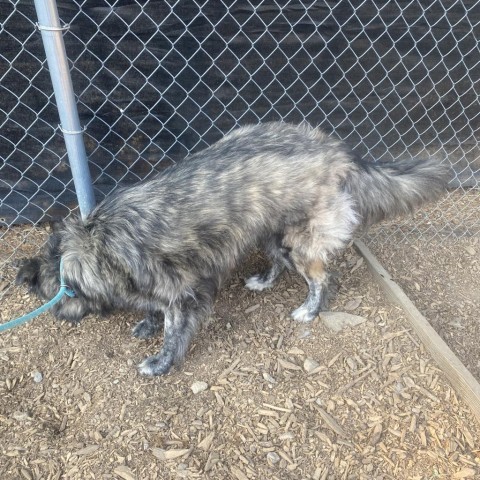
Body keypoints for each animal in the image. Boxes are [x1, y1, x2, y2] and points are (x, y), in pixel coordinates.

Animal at [15, 123, 450, 376]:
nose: (58, 318)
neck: (96, 244)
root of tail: (339, 152)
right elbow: (154, 312)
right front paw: (147, 323)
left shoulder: (183, 294)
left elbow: (173, 331)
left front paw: (161, 362)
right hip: (269, 231)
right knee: (278, 262)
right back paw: (263, 281)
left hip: (300, 241)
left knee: (324, 279)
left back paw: (309, 311)